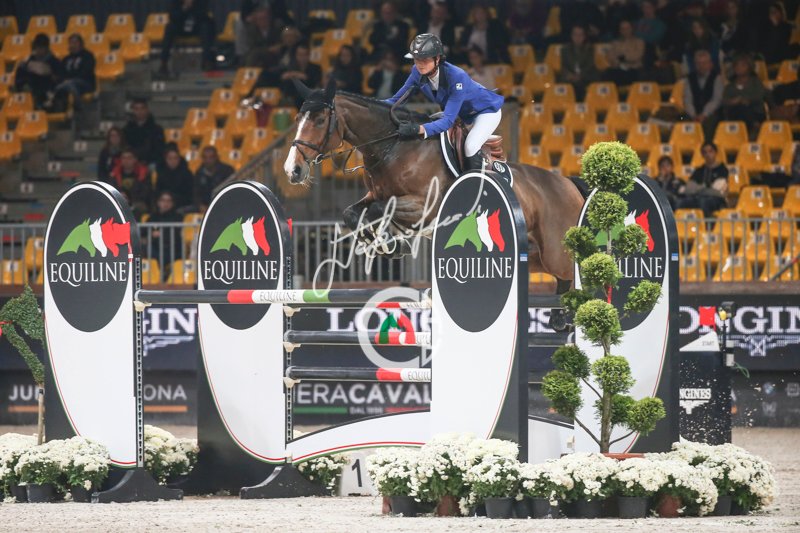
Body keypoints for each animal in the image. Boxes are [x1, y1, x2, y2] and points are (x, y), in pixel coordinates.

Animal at [283, 78, 585, 293]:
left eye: (320, 120)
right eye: (296, 119)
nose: (292, 170)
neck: (393, 147)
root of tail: (567, 183)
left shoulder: (424, 207)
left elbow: (381, 209)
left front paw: (390, 243)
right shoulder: (375, 195)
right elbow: (353, 213)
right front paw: (385, 244)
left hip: (558, 255)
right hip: (538, 258)